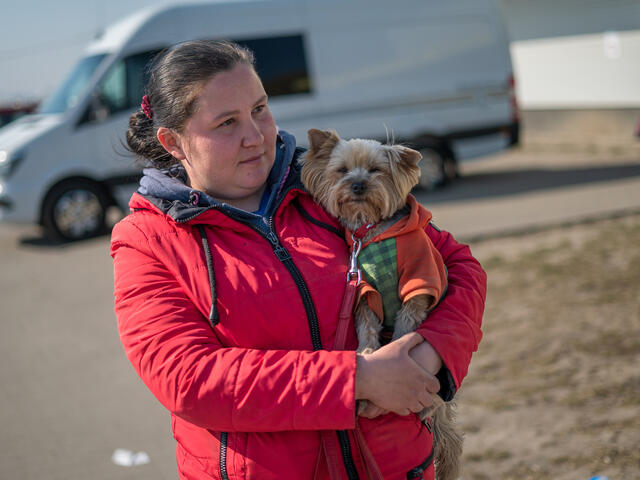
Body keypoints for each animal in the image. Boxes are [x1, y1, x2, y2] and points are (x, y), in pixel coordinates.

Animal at [302, 129, 462, 480]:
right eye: (342, 170)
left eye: (376, 170)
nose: (358, 185)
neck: (371, 231)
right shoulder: (364, 292)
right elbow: (367, 328)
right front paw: (367, 352)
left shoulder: (418, 284)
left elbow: (406, 324)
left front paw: (398, 355)